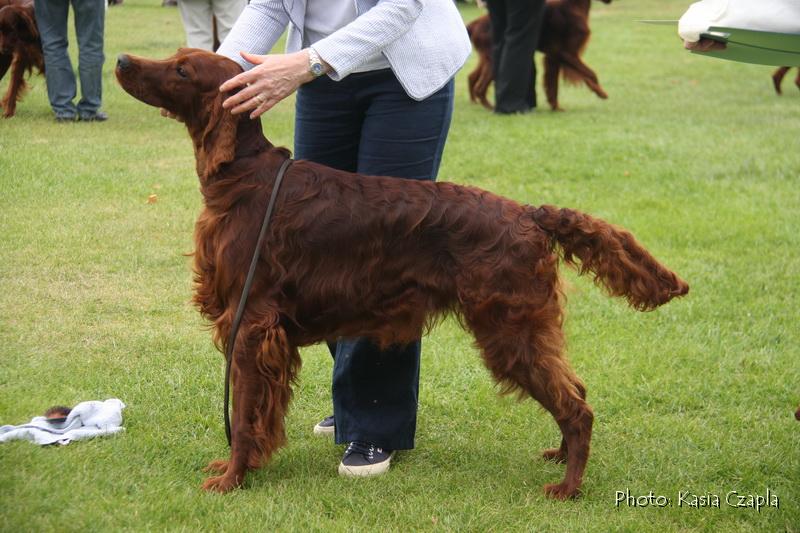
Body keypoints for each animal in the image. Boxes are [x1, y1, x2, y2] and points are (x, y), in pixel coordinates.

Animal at [114, 48, 688, 498]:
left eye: (182, 69)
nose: (121, 60)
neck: (242, 176)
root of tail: (529, 214)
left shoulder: (252, 324)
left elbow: (243, 411)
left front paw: (231, 479)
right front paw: (240, 466)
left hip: (510, 329)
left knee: (577, 407)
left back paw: (568, 487)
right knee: (577, 391)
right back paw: (559, 457)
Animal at [466, 0, 608, 110]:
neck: (573, 7)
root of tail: (474, 24)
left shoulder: (554, 57)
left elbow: (554, 84)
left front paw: (555, 107)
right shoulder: (567, 53)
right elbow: (591, 73)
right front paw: (601, 93)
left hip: (487, 58)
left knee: (472, 77)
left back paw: (477, 103)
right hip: (491, 63)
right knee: (480, 87)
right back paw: (489, 107)